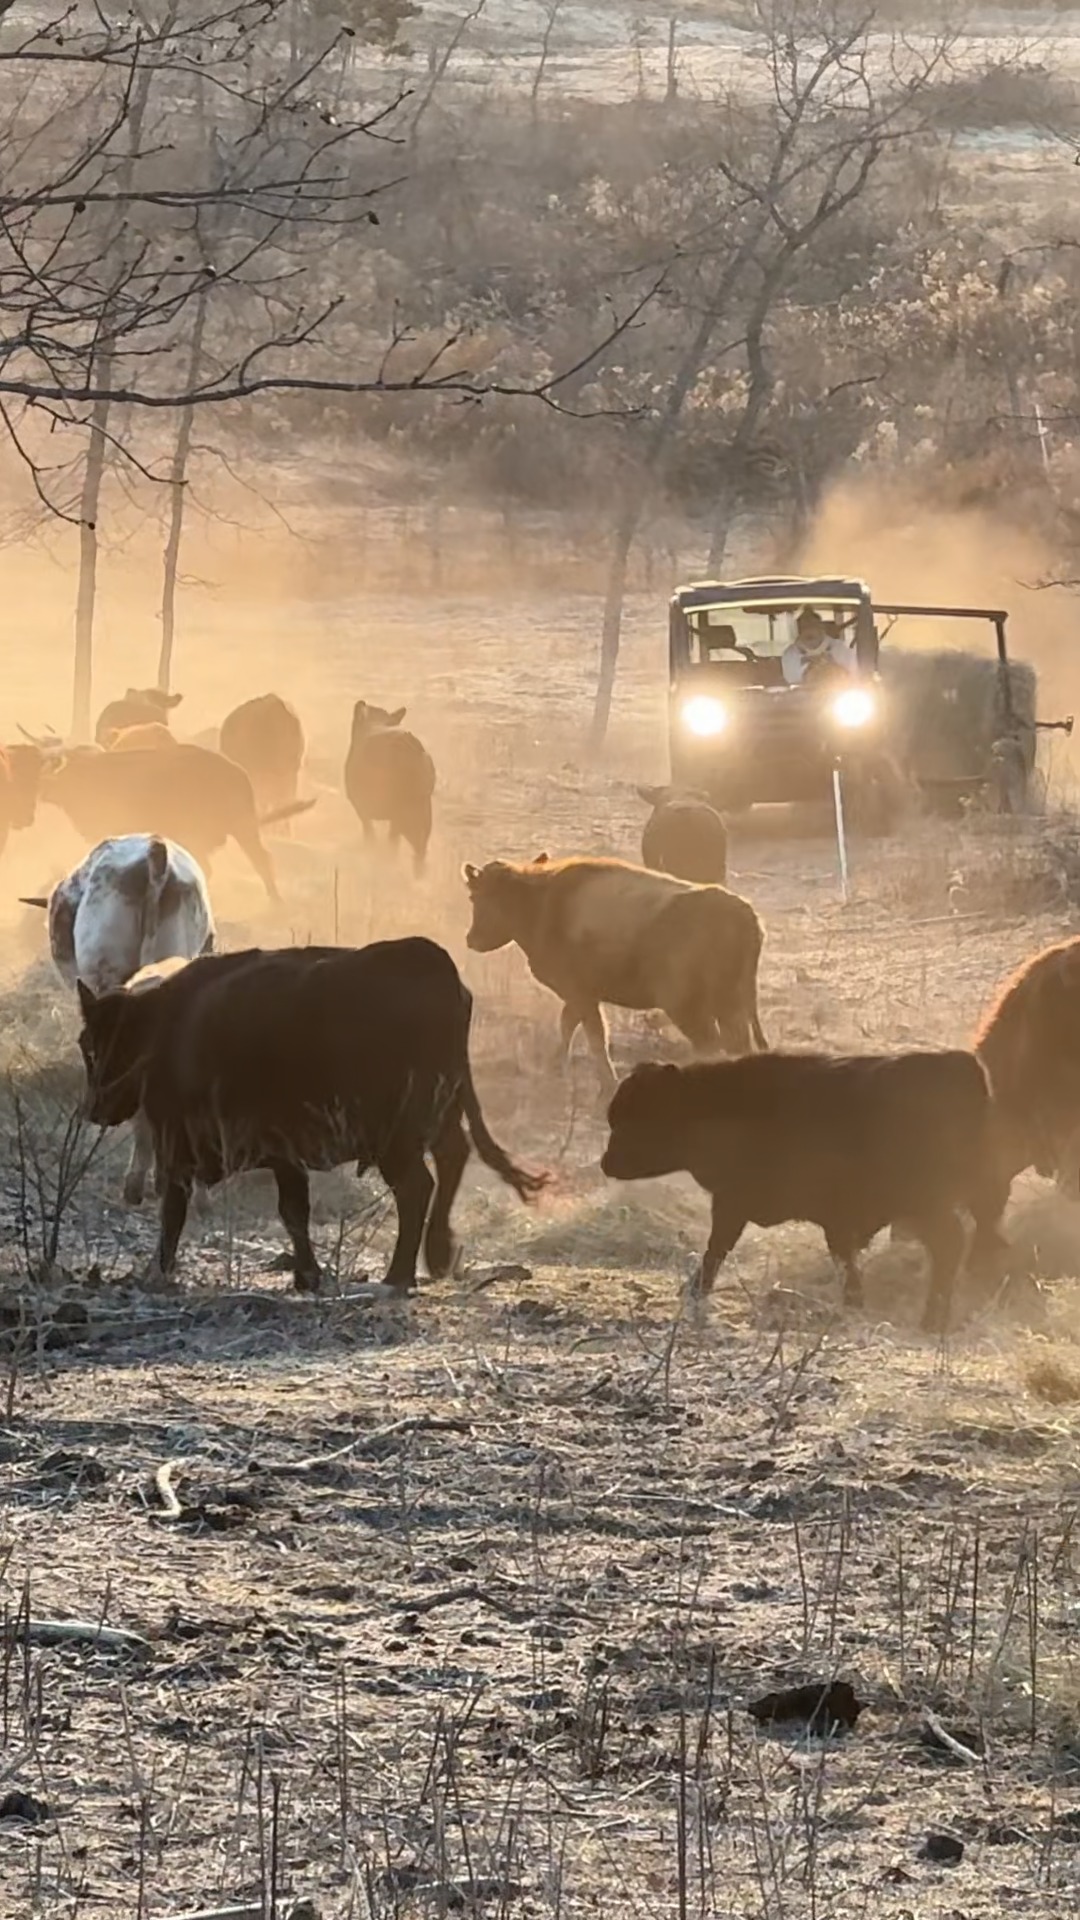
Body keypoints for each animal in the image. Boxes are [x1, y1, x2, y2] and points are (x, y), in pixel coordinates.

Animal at [75, 938, 548, 1290]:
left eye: (97, 1045)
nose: (93, 1108)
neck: (165, 1028)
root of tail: (429, 961)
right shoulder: (284, 1153)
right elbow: (294, 1212)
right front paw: (307, 1274)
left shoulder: (180, 1144)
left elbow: (174, 1210)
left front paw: (157, 1271)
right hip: (441, 1115)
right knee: (452, 1158)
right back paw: (438, 1252)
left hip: (396, 1136)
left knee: (417, 1186)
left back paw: (399, 1274)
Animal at [462, 854, 767, 1090]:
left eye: (475, 897)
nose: (470, 940)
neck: (543, 902)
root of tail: (744, 914)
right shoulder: (582, 996)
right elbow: (568, 1025)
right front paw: (555, 1065)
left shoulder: (581, 994)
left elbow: (595, 1038)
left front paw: (607, 1084)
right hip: (730, 1007)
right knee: (736, 1046)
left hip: (688, 1008)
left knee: (711, 1045)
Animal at [600, 1050, 1006, 1331]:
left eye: (639, 1117)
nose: (606, 1163)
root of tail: (959, 1063)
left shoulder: (736, 1204)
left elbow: (718, 1248)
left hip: (928, 1205)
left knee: (950, 1245)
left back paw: (932, 1319)